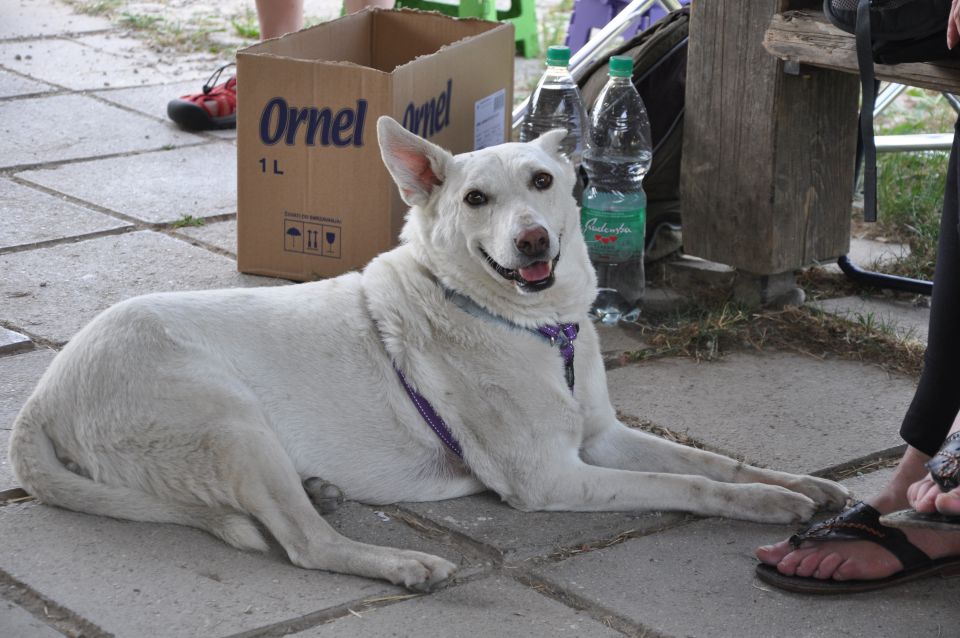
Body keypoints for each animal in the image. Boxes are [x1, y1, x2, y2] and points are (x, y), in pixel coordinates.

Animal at [7, 117, 848, 592]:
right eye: (476, 199)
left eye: (543, 181)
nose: (532, 239)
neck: (537, 327)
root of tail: (42, 397)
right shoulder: (553, 477)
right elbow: (687, 485)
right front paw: (768, 507)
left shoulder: (601, 436)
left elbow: (718, 463)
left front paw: (802, 487)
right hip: (228, 422)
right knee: (305, 547)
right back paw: (399, 565)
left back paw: (323, 491)